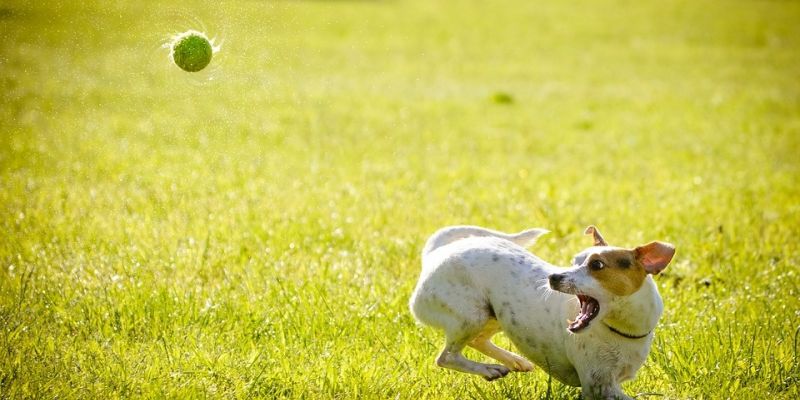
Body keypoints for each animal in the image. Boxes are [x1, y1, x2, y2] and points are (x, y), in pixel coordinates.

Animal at [412, 227, 676, 398]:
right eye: (574, 261)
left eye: (597, 265)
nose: (553, 277)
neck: (621, 330)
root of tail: (436, 253)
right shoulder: (598, 386)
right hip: (471, 315)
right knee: (446, 357)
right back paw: (489, 369)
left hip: (495, 314)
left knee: (477, 340)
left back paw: (514, 361)